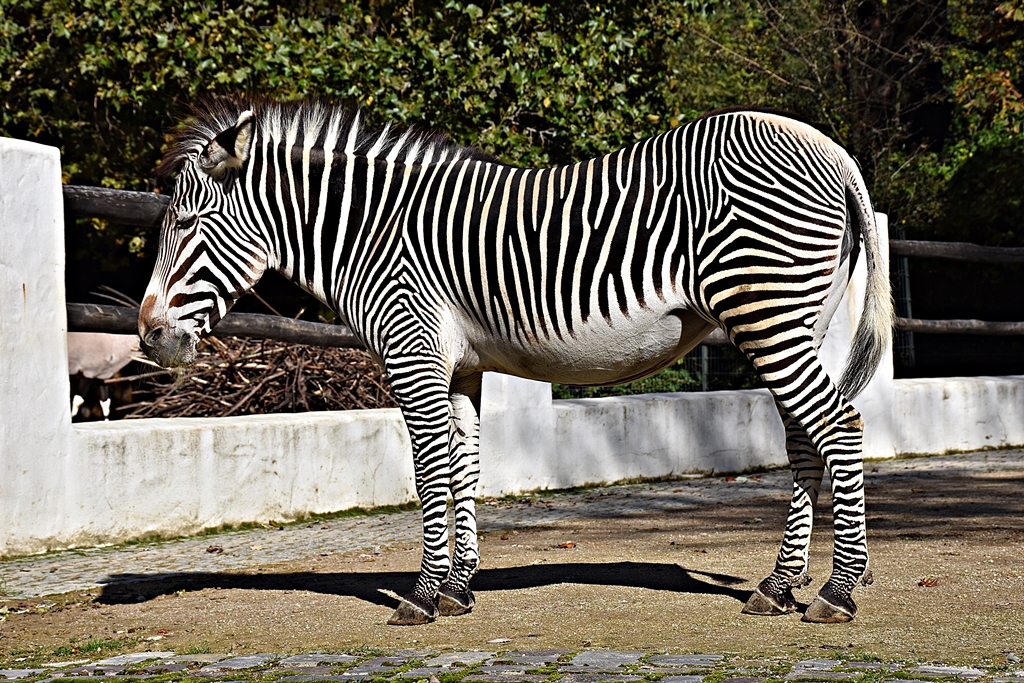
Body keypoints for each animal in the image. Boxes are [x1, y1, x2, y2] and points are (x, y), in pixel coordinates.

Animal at [138, 98, 893, 626]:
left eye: (189, 225)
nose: (148, 336)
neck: (371, 233)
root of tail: (827, 144)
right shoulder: (460, 366)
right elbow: (464, 467)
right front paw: (459, 587)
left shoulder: (411, 349)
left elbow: (429, 473)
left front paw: (421, 594)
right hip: (791, 320)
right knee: (805, 436)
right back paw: (779, 584)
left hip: (767, 312)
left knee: (841, 427)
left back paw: (837, 591)